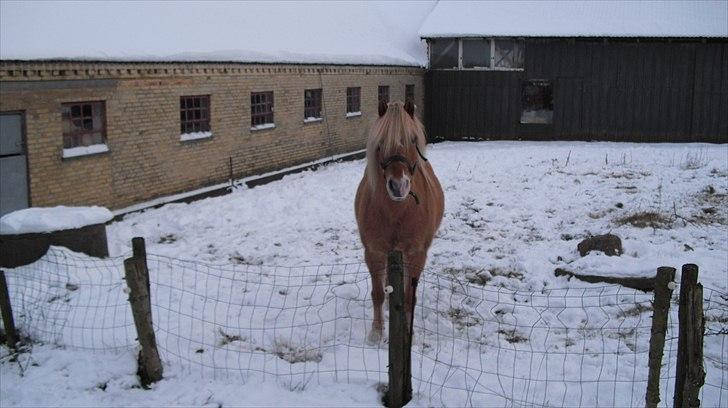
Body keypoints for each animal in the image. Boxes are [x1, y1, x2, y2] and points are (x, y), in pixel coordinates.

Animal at [356, 100, 446, 342]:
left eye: (413, 140)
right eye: (380, 143)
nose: (398, 186)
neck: (396, 211)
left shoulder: (416, 254)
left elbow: (408, 297)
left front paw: (407, 331)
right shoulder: (374, 252)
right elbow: (377, 293)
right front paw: (377, 332)